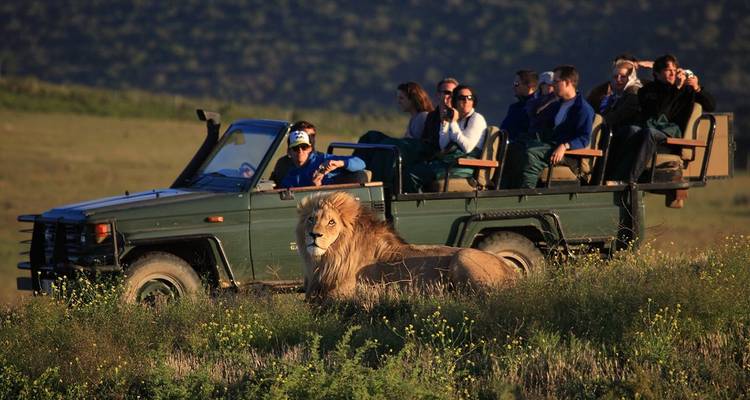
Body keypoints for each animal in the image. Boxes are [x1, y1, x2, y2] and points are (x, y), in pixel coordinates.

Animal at [296, 191, 517, 300]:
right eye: (311, 219)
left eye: (331, 222)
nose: (314, 234)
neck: (328, 258)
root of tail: (512, 271)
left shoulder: (343, 293)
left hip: (464, 258)